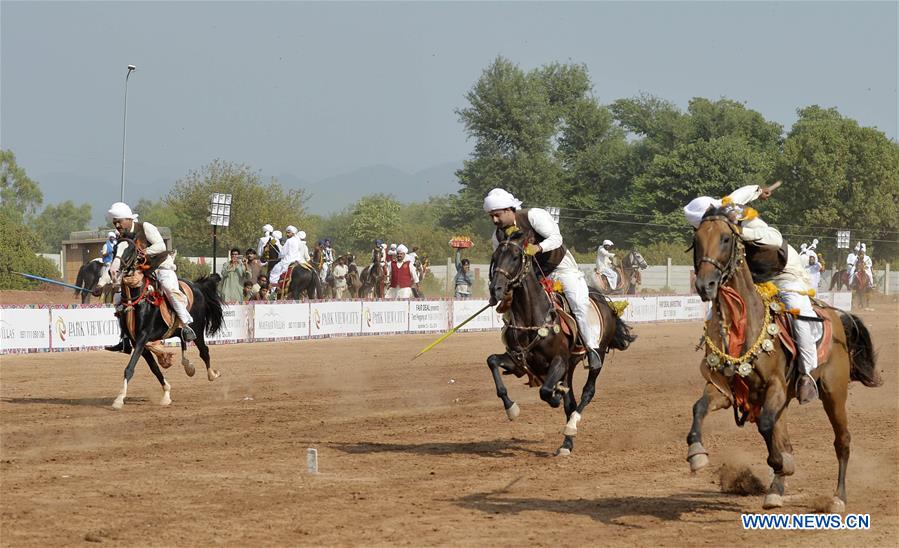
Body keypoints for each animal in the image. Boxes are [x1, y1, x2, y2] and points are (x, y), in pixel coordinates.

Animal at [108, 238, 225, 408]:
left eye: (129, 250)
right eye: (115, 249)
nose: (113, 271)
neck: (139, 299)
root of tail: (197, 286)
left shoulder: (143, 337)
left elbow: (130, 368)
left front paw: (119, 399)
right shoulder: (137, 341)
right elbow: (154, 368)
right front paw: (166, 393)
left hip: (198, 329)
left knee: (204, 351)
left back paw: (212, 374)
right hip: (179, 330)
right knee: (184, 340)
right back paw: (188, 366)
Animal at [486, 233, 640, 456]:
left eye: (515, 257)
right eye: (495, 257)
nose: (495, 288)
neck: (534, 317)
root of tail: (604, 301)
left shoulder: (559, 361)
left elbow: (545, 392)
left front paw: (555, 396)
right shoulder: (518, 361)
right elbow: (492, 362)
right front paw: (511, 408)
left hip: (597, 356)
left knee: (587, 392)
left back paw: (571, 425)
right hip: (570, 367)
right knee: (571, 401)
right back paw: (566, 443)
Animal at [688, 208, 880, 512]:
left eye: (726, 238)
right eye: (696, 240)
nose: (705, 285)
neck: (745, 323)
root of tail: (836, 316)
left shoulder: (775, 387)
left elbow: (767, 426)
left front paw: (783, 464)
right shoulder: (725, 390)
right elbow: (700, 407)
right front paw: (696, 453)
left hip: (833, 393)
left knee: (842, 440)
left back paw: (838, 497)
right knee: (784, 435)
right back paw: (776, 490)